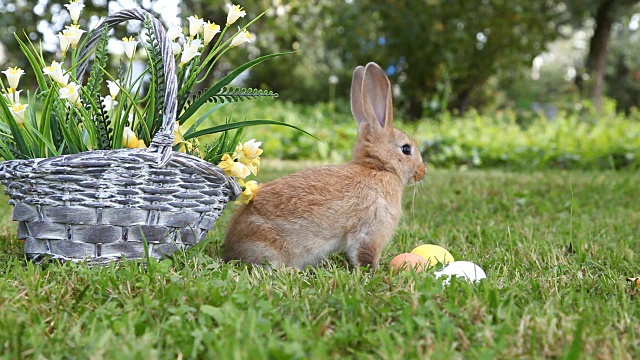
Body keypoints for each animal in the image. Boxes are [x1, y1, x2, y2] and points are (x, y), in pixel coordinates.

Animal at [221, 62, 424, 270]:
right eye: (406, 149)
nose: (422, 172)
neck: (378, 167)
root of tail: (229, 248)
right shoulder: (371, 230)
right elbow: (365, 255)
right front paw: (372, 272)